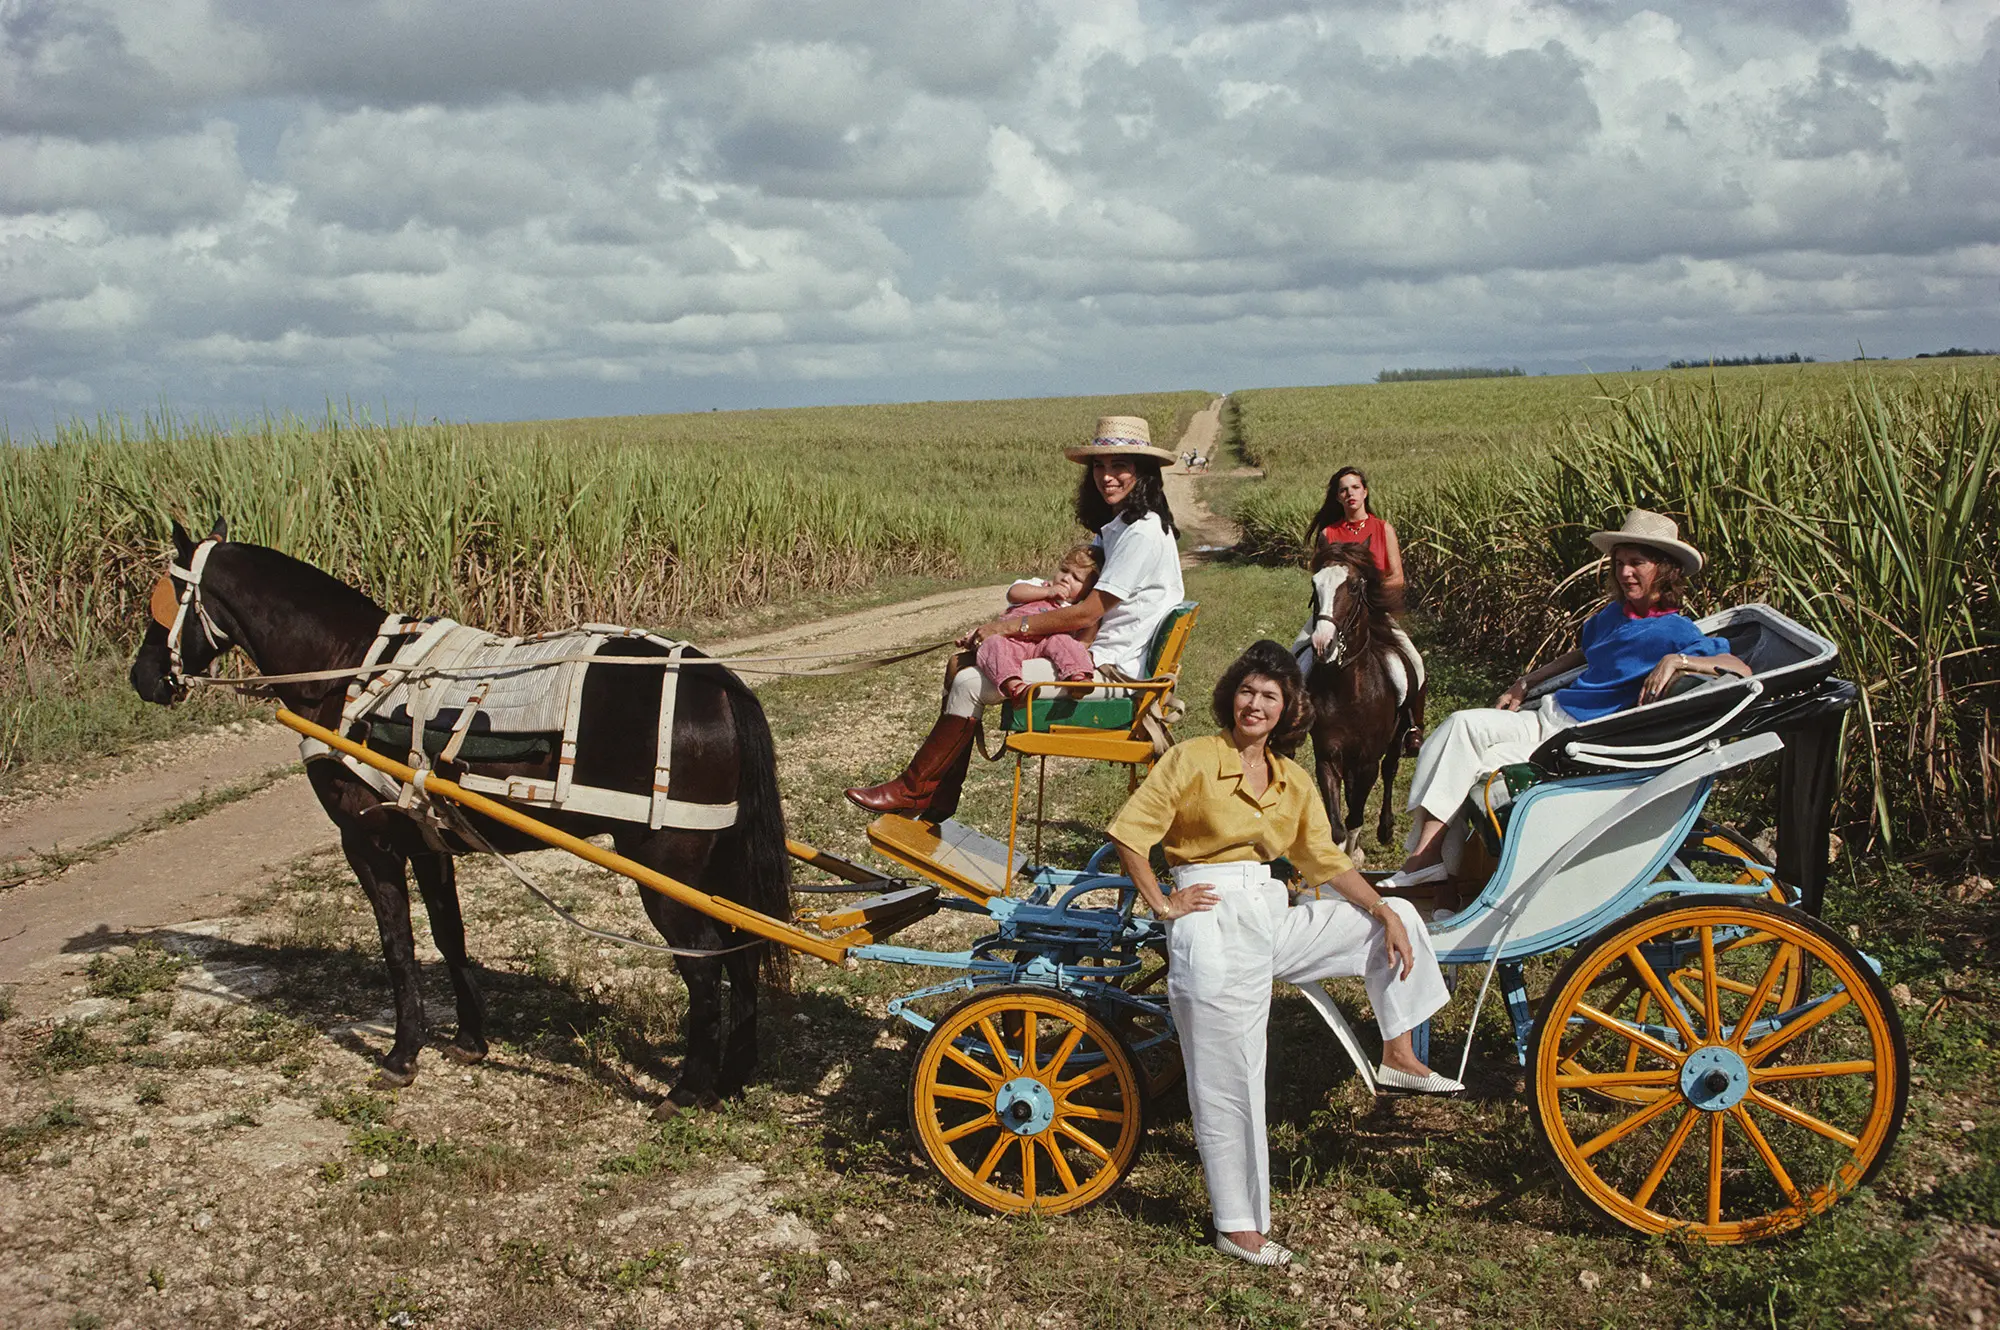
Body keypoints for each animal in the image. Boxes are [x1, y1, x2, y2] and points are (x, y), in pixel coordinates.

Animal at [127, 524, 788, 1104]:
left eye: (163, 599)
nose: (143, 678)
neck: (352, 669)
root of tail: (719, 682)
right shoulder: (426, 839)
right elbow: (449, 935)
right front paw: (470, 1037)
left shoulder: (367, 841)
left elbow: (397, 944)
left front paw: (402, 1054)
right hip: (714, 861)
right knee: (742, 949)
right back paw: (733, 1077)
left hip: (666, 867)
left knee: (704, 963)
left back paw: (689, 1089)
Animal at [1296, 544, 1408, 856]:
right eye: (1314, 584)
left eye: (1355, 586)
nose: (1323, 645)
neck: (1349, 691)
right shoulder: (1328, 755)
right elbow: (1337, 827)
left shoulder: (1368, 761)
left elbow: (1355, 818)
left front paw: (1354, 855)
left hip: (1397, 739)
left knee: (1390, 770)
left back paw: (1385, 829)